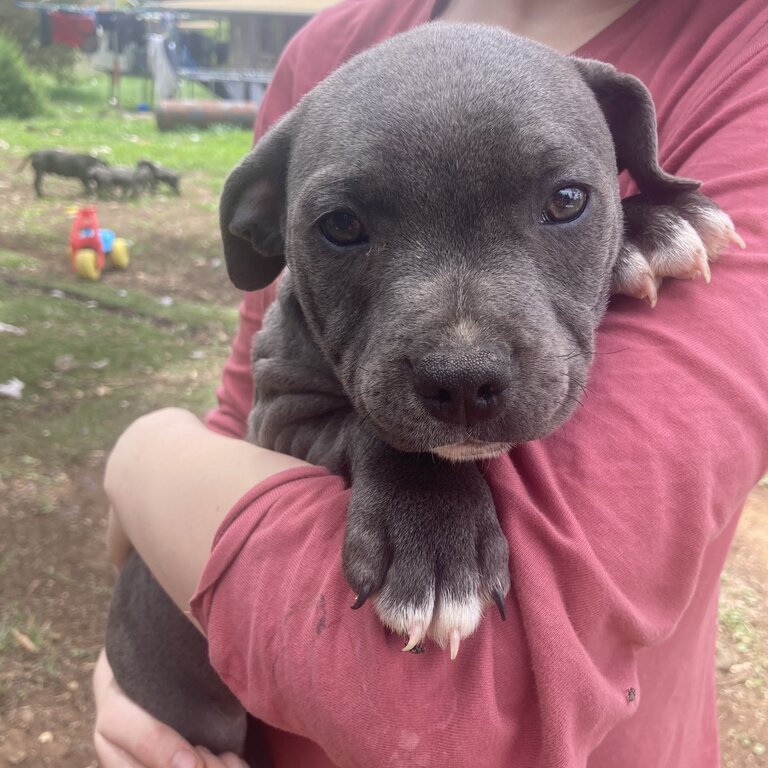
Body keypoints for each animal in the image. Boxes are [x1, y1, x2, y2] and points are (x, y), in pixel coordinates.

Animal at [105, 21, 740, 760]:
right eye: (341, 226)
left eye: (567, 200)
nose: (464, 380)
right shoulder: (278, 417)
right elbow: (380, 435)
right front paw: (434, 545)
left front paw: (655, 222)